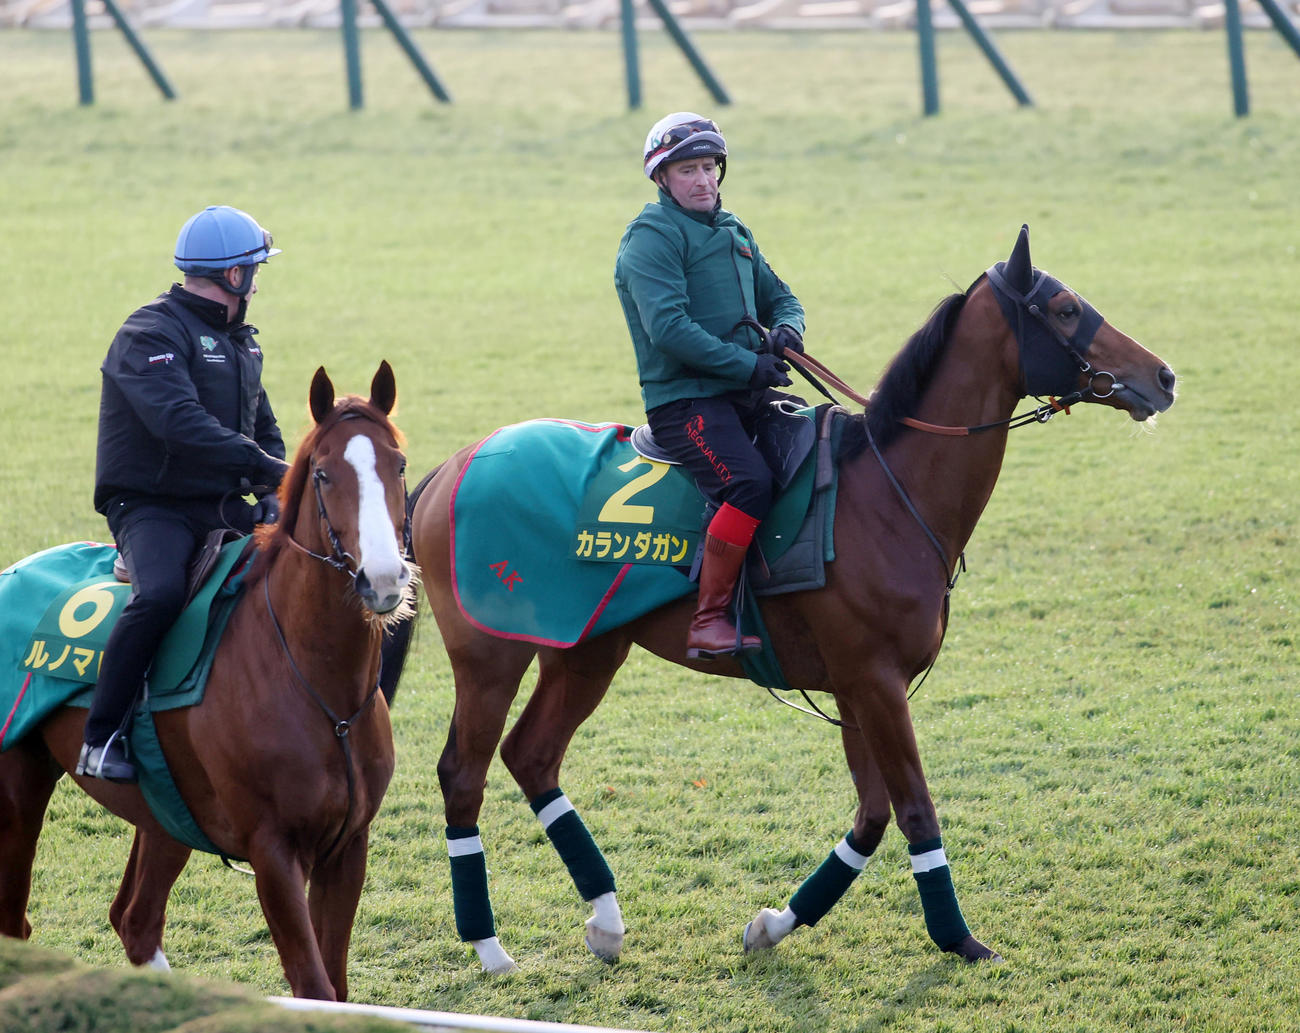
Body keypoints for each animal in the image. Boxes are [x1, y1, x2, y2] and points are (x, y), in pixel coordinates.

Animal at [0, 362, 416, 1001]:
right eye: (323, 473)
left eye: (398, 465)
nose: (385, 577)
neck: (319, 686)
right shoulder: (274, 852)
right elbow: (315, 987)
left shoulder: (348, 847)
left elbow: (338, 989)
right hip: (19, 787)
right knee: (16, 924)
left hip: (165, 813)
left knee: (135, 918)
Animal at [394, 225, 1177, 973]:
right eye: (1066, 308)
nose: (1163, 376)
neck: (886, 491)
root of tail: (450, 467)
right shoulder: (876, 682)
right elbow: (915, 811)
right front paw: (958, 938)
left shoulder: (858, 689)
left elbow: (871, 817)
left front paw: (775, 924)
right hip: (492, 656)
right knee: (463, 775)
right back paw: (490, 947)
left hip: (586, 649)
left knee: (532, 756)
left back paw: (607, 921)